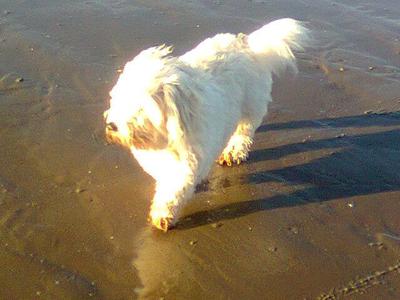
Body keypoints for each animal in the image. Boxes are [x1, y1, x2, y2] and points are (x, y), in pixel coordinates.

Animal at [104, 17, 310, 231]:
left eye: (140, 106)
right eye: (117, 98)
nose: (112, 126)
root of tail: (249, 46)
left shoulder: (188, 163)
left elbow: (174, 188)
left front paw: (163, 213)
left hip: (250, 107)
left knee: (243, 132)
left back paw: (234, 152)